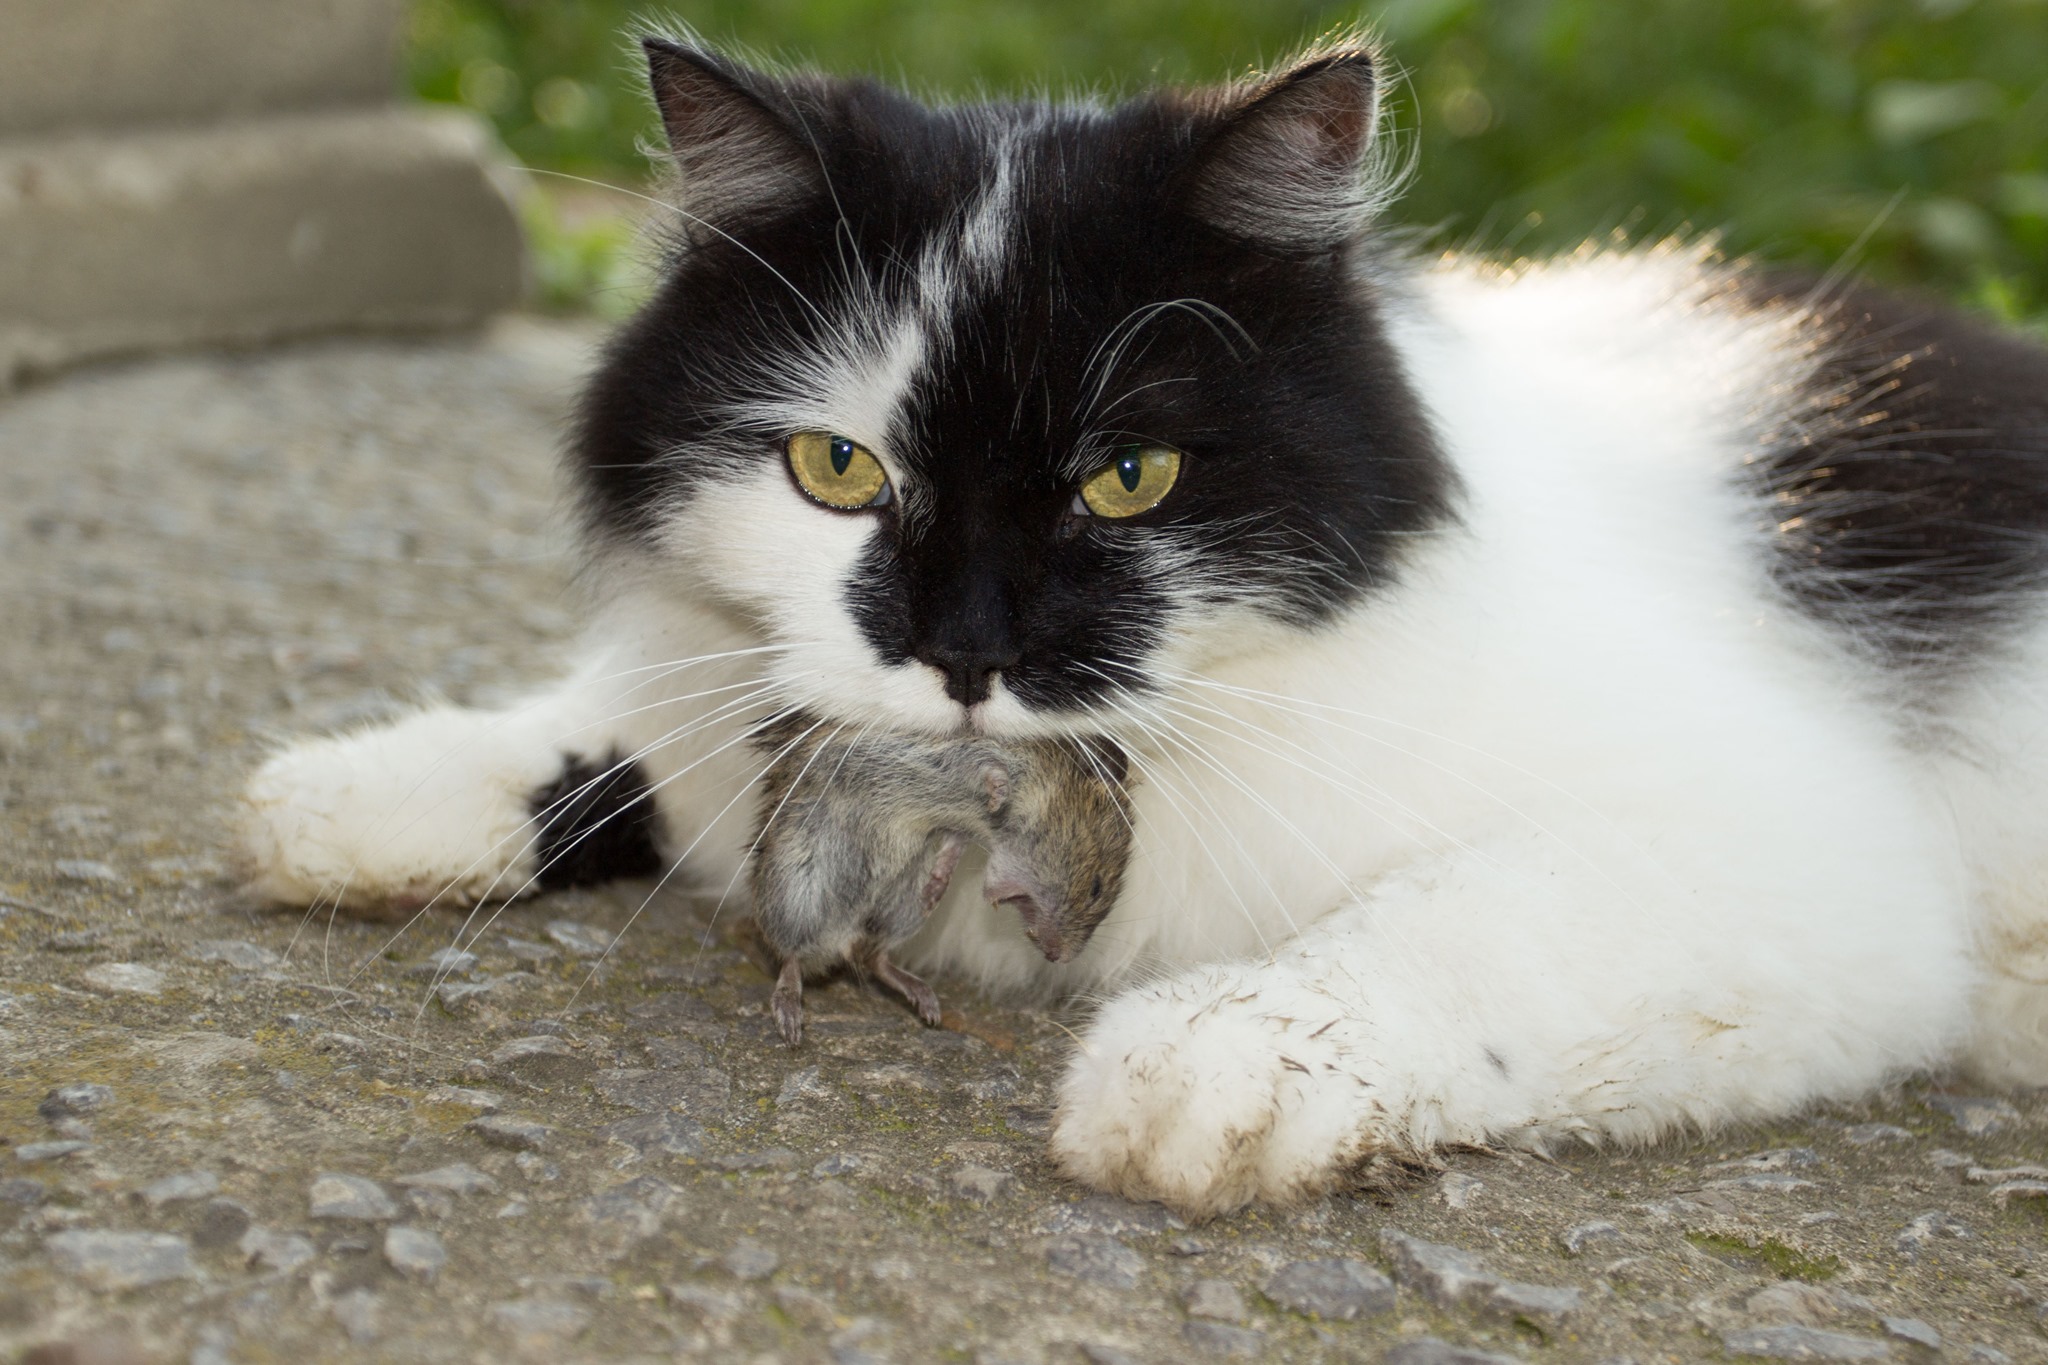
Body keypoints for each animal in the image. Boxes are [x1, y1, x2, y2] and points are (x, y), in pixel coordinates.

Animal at [239, 31, 2048, 1219]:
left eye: (1129, 479)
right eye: (837, 469)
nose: (964, 652)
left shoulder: (1803, 860)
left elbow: (1453, 925)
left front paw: (1214, 1067)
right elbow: (628, 739)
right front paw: (354, 795)